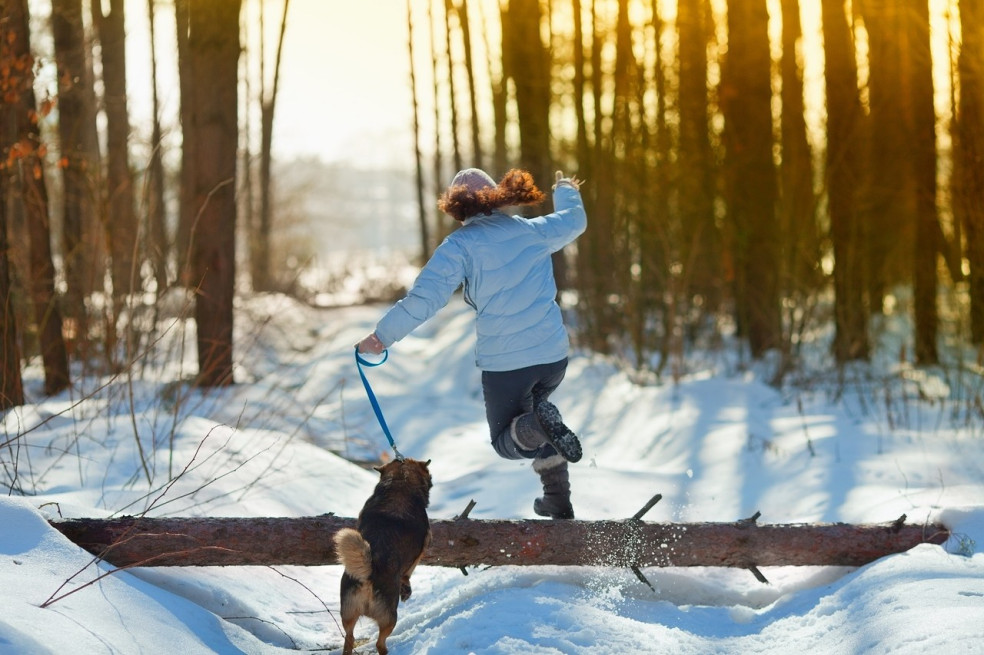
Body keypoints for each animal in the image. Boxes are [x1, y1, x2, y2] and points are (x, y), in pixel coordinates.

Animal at [334, 458, 430, 655]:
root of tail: (369, 574)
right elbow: (408, 573)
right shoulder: (420, 550)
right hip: (389, 617)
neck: (400, 481)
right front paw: (406, 588)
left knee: (349, 638)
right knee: (380, 643)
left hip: (348, 611)